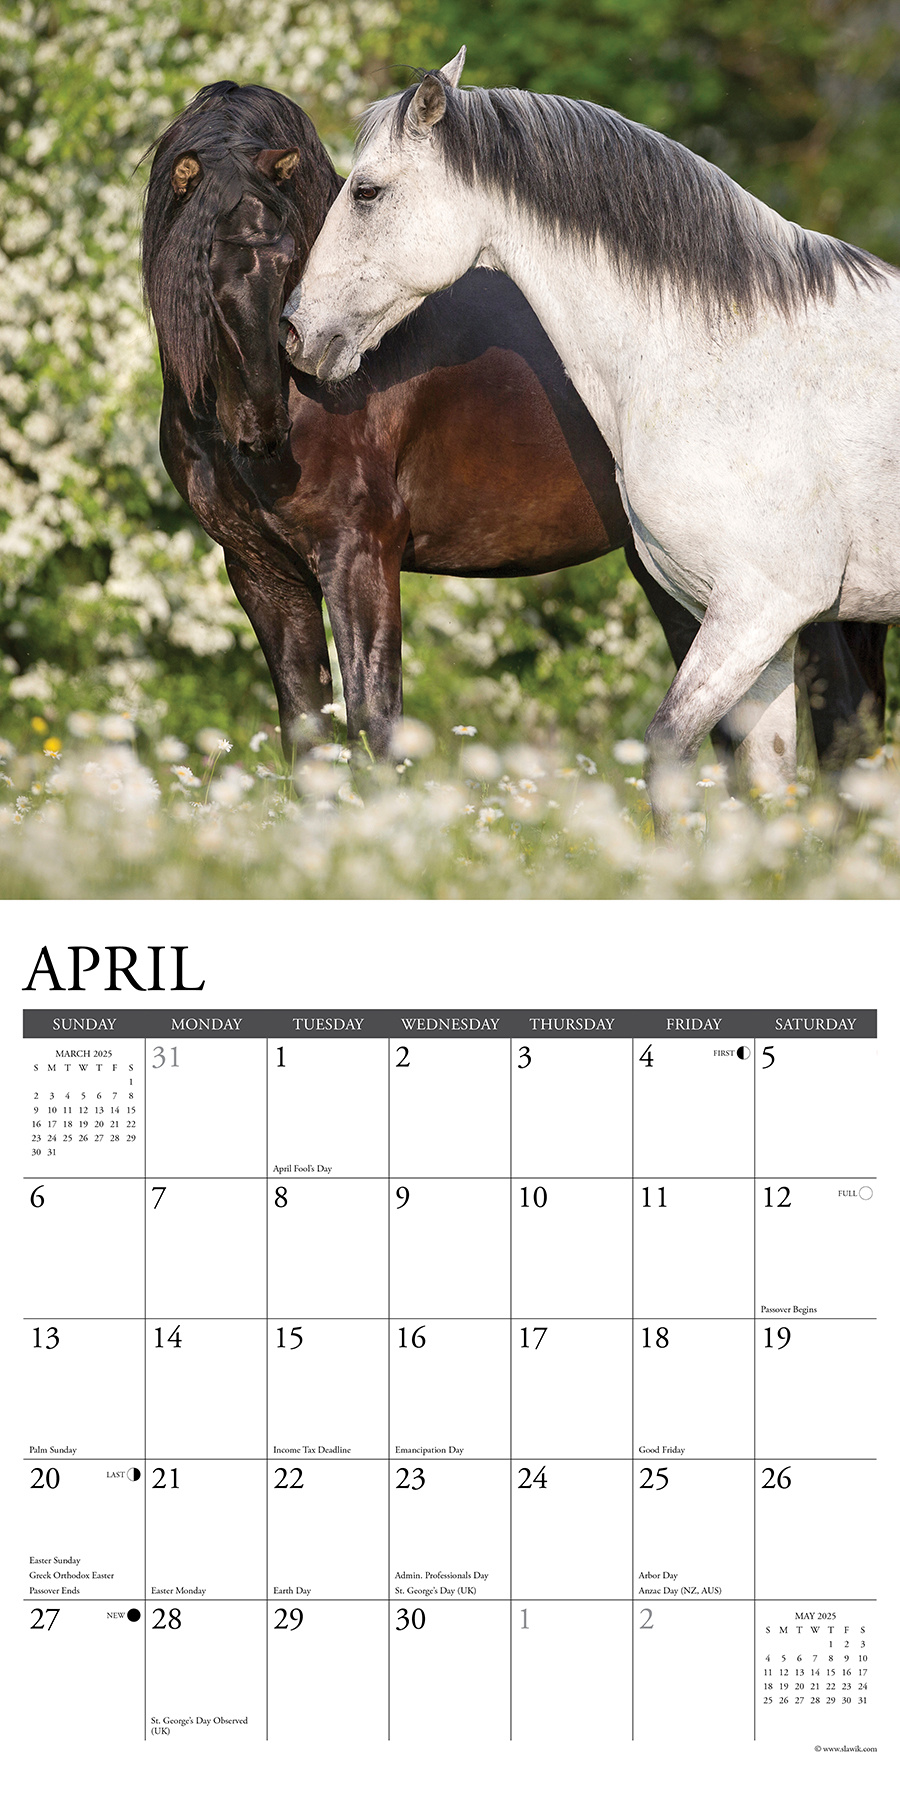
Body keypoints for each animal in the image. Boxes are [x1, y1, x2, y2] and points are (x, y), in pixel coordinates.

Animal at [141, 81, 886, 772]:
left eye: (288, 249)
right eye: (203, 262)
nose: (263, 423)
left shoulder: (358, 557)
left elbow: (376, 725)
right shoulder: (263, 573)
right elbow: (306, 733)